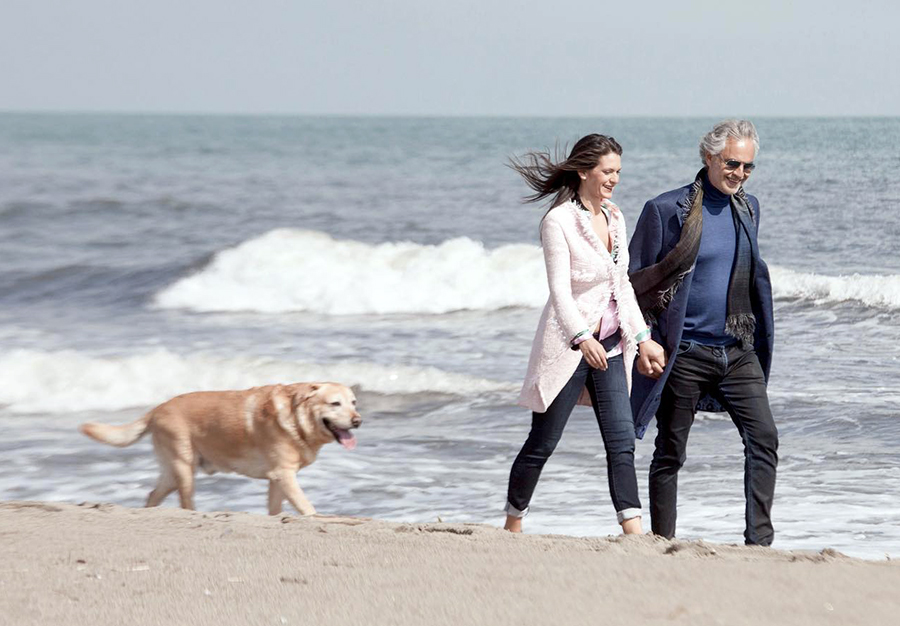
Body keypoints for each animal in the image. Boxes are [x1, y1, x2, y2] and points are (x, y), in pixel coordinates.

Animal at [77, 380, 358, 512]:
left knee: (153, 495)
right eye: (335, 404)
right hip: (184, 467)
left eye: (354, 402)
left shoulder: (276, 479)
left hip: (172, 471)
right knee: (185, 501)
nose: (358, 421)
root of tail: (157, 408)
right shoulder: (283, 475)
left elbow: (276, 509)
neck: (296, 419)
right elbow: (306, 507)